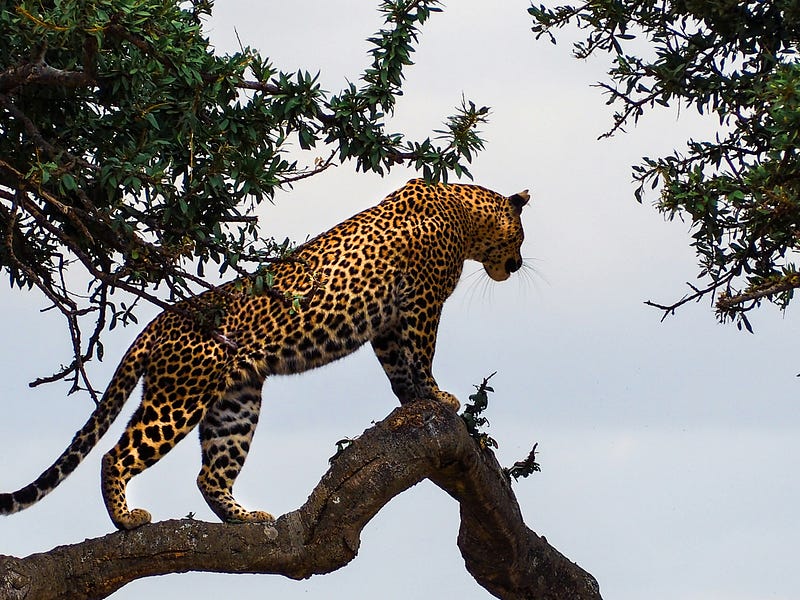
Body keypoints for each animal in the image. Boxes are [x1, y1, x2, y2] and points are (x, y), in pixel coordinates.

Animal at [1, 178, 532, 528]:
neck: (465, 214)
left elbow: (398, 367)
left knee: (209, 473)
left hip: (235, 402)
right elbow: (422, 353)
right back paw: (127, 520)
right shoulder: (421, 302)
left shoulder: (386, 323)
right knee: (116, 455)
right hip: (178, 399)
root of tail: (159, 322)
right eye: (522, 236)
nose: (518, 264)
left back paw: (243, 517)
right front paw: (439, 396)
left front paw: (413, 402)